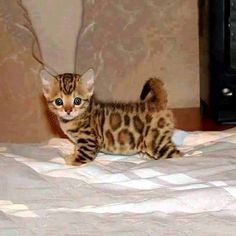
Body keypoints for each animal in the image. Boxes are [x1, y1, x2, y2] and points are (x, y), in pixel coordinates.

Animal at [41, 68, 181, 166]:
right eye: (59, 101)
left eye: (77, 101)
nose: (68, 110)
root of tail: (156, 103)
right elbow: (77, 148)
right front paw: (73, 153)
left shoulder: (89, 140)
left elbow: (83, 156)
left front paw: (71, 160)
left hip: (156, 141)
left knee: (177, 155)